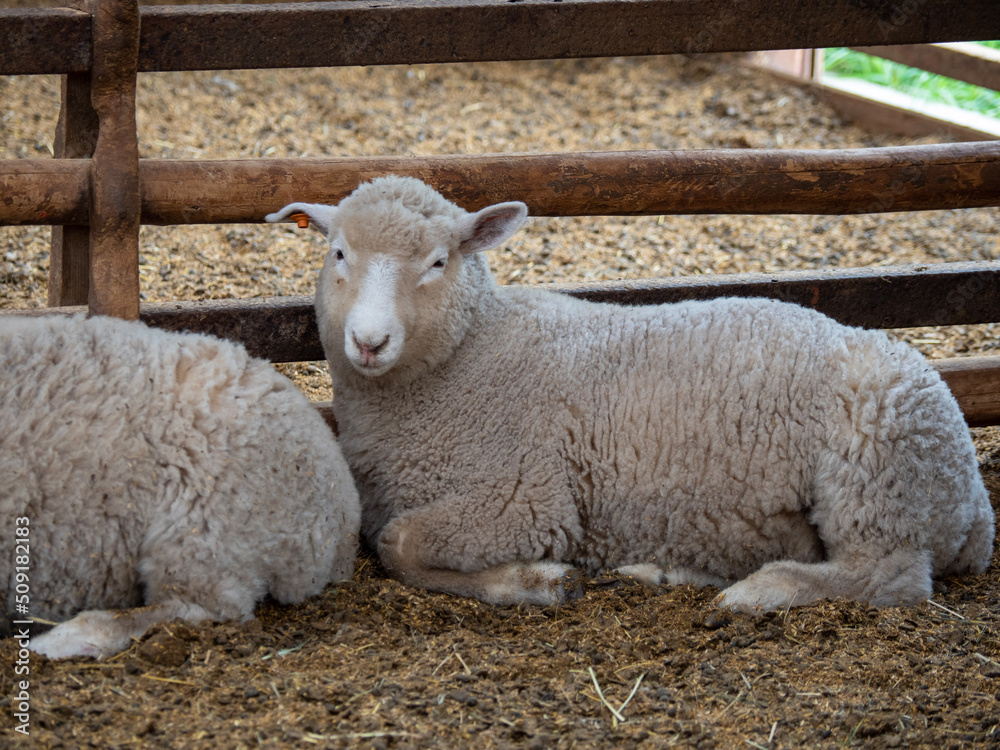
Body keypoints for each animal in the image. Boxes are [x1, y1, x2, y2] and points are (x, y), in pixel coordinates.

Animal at [267, 175, 994, 612]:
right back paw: (666, 573)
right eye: (337, 252)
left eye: (439, 262)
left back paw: (758, 592)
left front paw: (534, 580)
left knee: (890, 577)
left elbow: (400, 544)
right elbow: (393, 547)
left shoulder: (526, 498)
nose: (368, 341)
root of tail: (975, 514)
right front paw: (533, 581)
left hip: (876, 475)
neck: (467, 357)